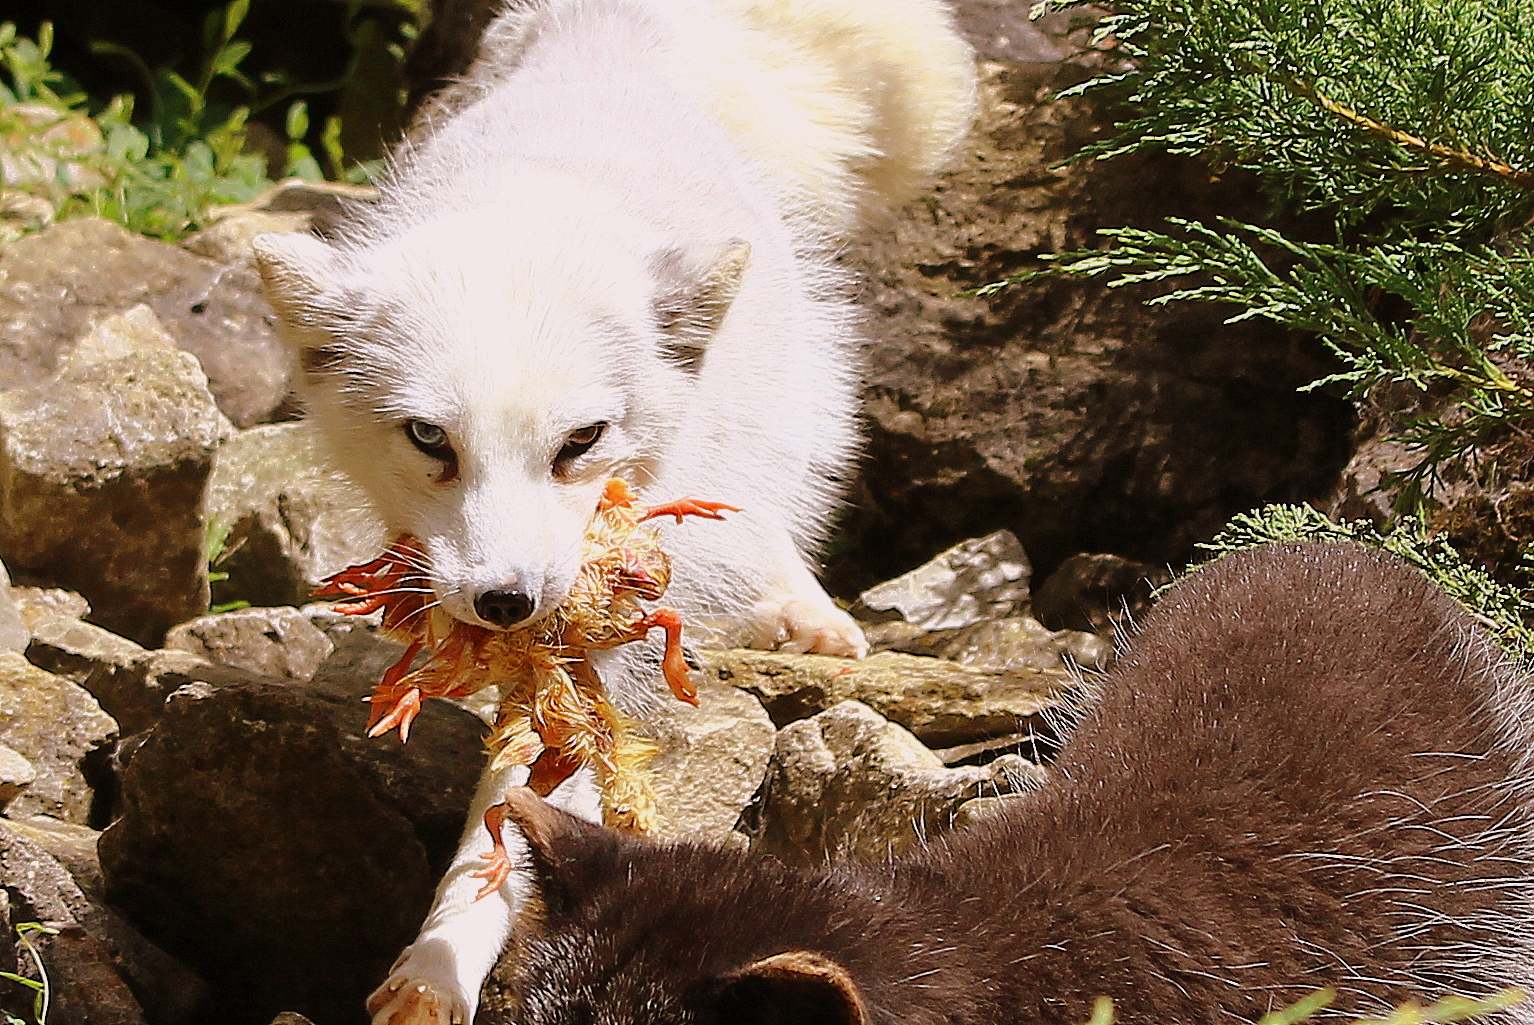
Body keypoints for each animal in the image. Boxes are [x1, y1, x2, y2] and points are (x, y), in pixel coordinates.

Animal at [251, 0, 969, 1018]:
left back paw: (802, 605)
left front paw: (443, 960)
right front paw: (432, 969)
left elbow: (516, 817)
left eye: (582, 440)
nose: (507, 603)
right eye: (429, 438)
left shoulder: (603, 626)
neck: (535, 205)